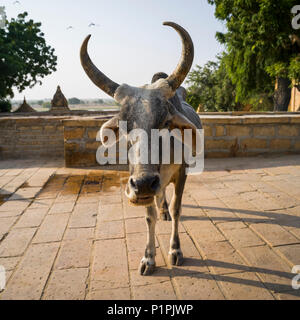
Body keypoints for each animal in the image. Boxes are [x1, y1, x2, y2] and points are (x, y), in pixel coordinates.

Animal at [79, 21, 203, 276]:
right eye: (124, 125)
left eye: (165, 122)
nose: (145, 182)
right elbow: (149, 216)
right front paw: (149, 258)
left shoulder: (182, 172)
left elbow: (177, 208)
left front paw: (175, 250)